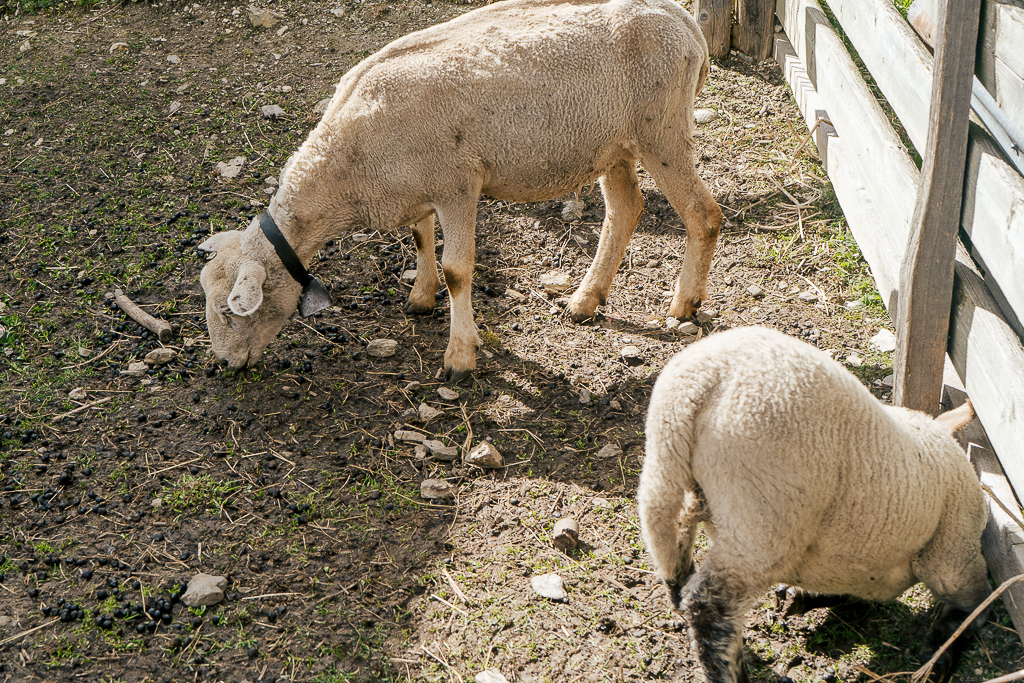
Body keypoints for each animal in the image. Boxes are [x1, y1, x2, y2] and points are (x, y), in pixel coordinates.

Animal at [193, 0, 720, 378]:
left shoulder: (458, 184)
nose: (224, 364)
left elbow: (457, 272)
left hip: (661, 130)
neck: (348, 172)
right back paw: (585, 301)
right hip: (612, 144)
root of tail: (684, 21)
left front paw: (460, 358)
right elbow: (420, 238)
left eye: (227, 310)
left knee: (703, 214)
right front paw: (420, 299)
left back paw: (684, 304)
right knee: (626, 209)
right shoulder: (418, 185)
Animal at [638, 325, 991, 683]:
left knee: (672, 543)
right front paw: (940, 654)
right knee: (709, 603)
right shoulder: (951, 548)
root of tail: (704, 381)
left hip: (669, 470)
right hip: (768, 515)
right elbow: (975, 605)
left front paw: (801, 597)